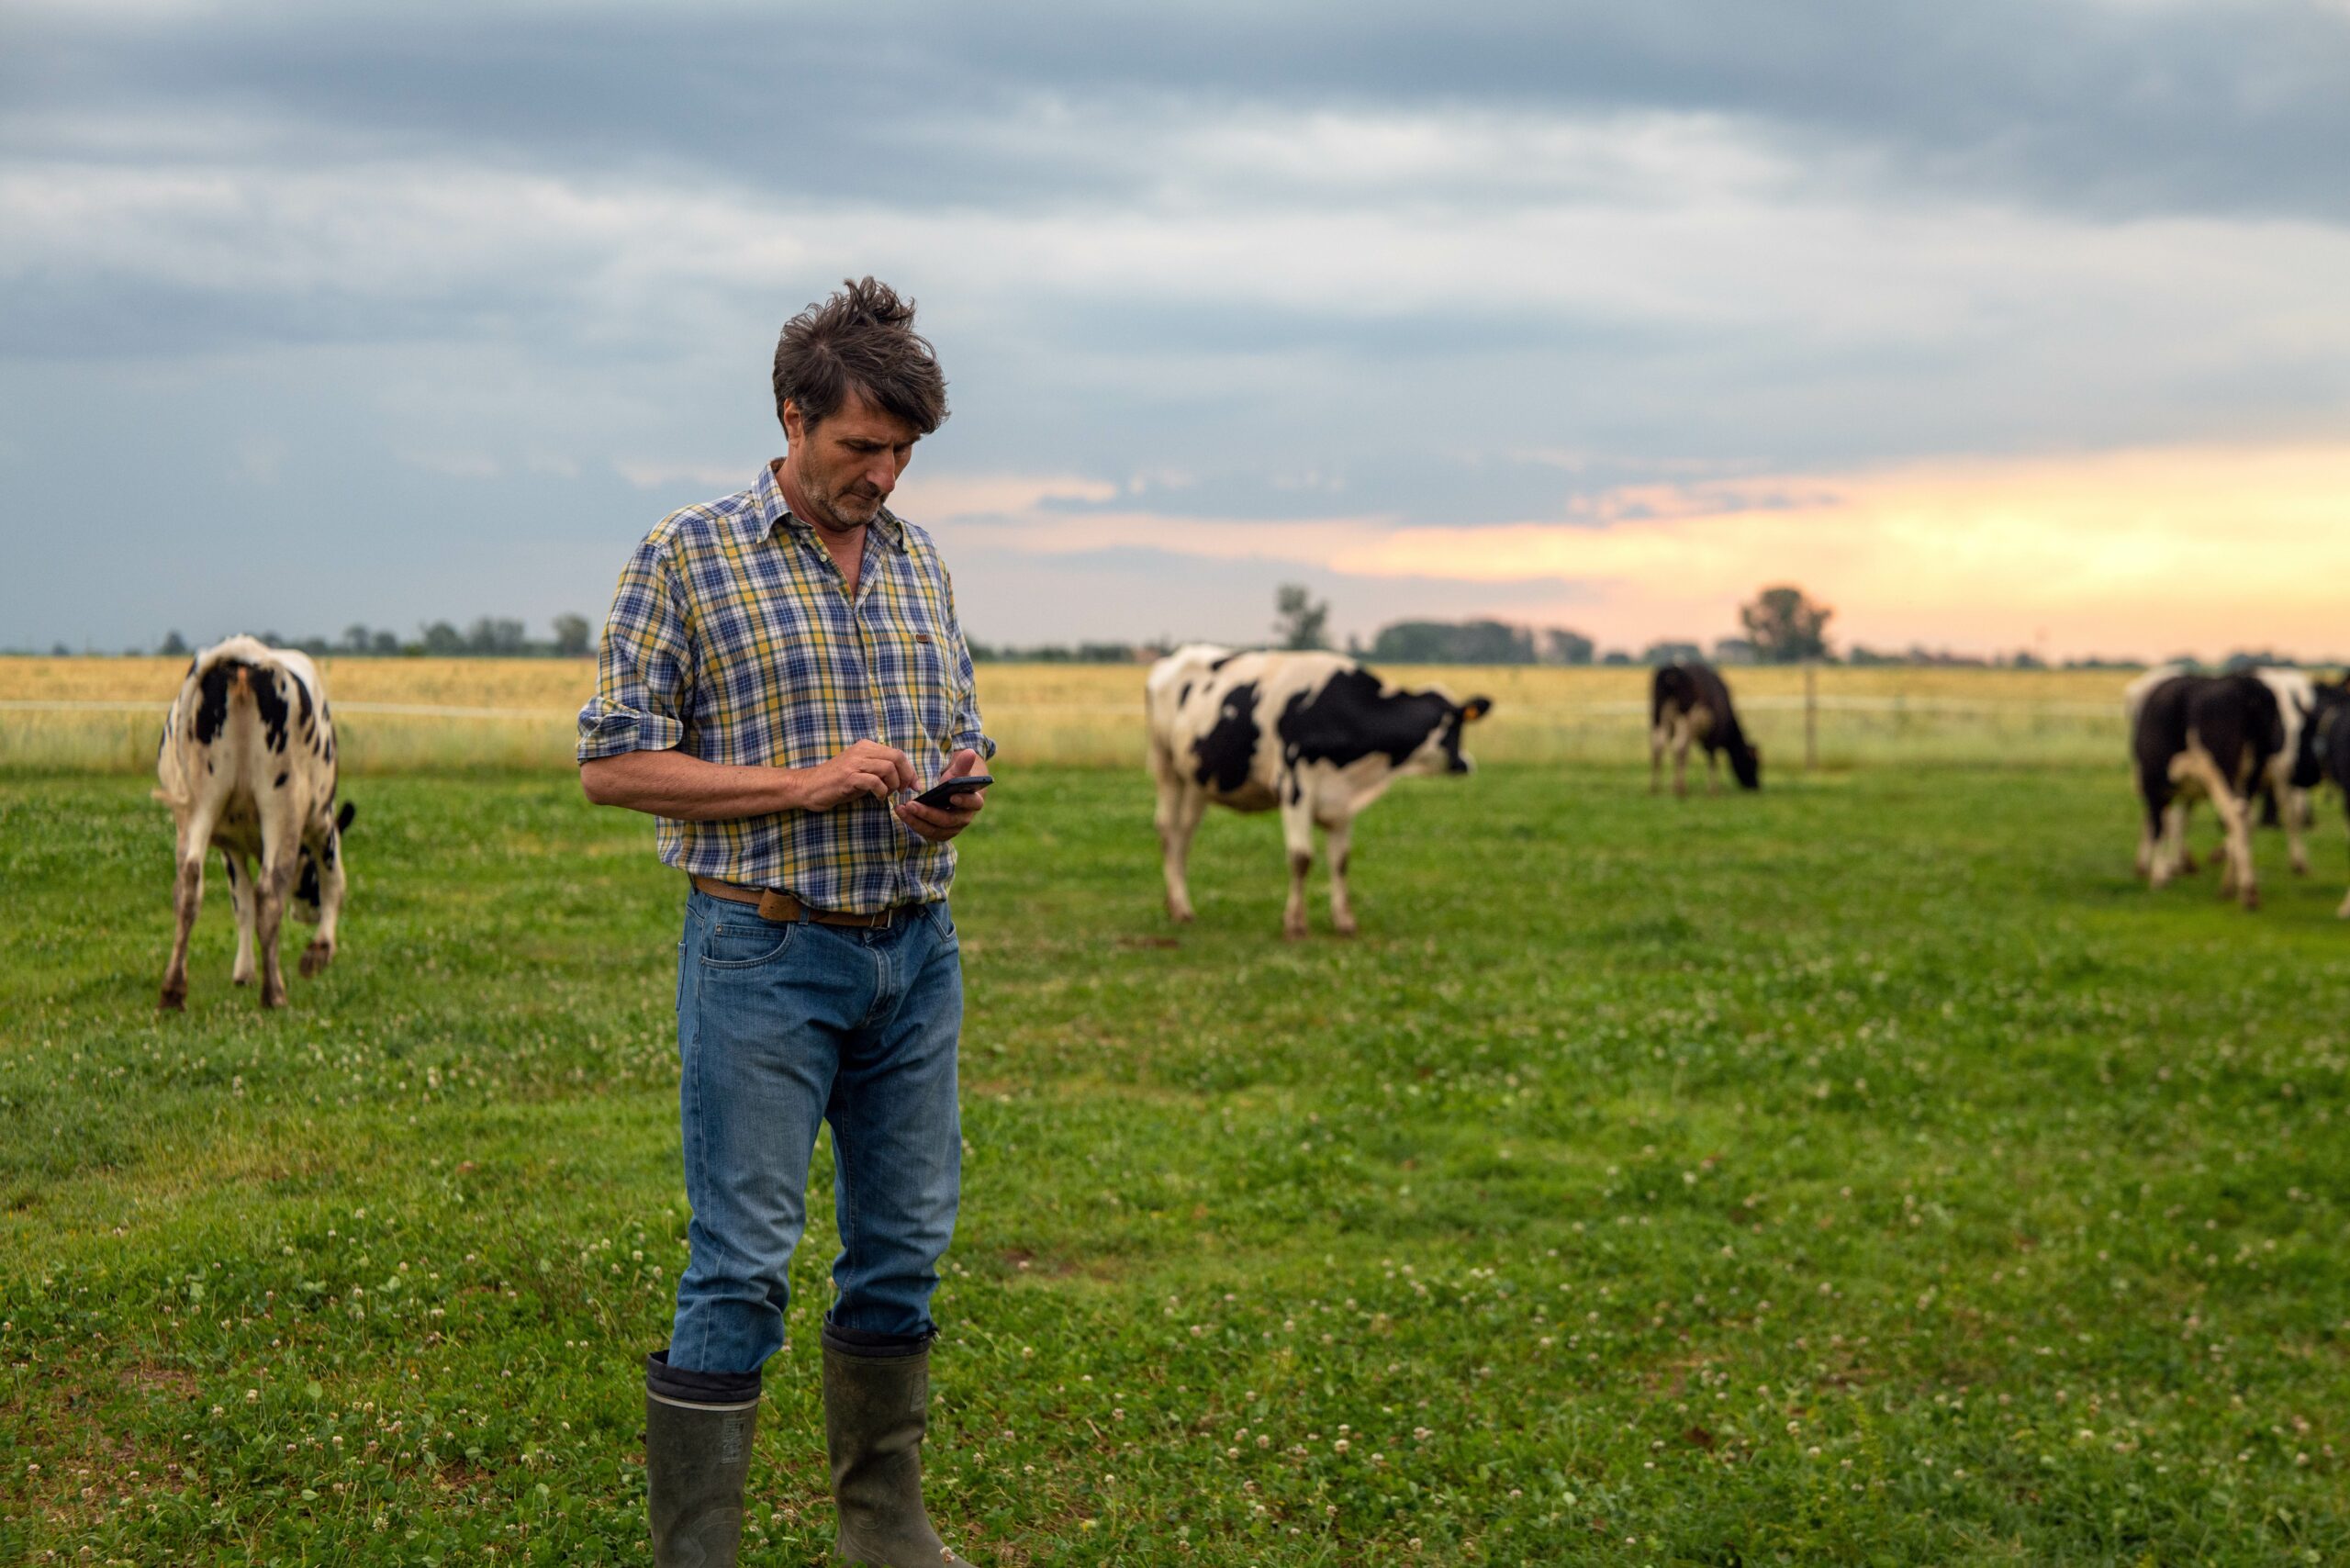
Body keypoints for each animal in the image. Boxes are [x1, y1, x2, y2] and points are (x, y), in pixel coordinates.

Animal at [156, 634, 352, 1011]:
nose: (307, 913)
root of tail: (244, 660)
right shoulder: (322, 821)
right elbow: (335, 881)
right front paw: (319, 952)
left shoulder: (229, 846)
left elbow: (241, 904)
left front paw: (243, 971)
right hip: (283, 807)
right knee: (270, 891)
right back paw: (274, 992)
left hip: (196, 810)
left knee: (188, 885)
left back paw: (173, 990)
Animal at [1151, 644, 1494, 940]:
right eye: (1452, 724)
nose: (1466, 763)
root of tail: (1172, 659)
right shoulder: (1295, 787)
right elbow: (1301, 858)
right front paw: (1295, 924)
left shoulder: (1342, 799)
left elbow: (1341, 860)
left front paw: (1344, 921)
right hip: (1167, 767)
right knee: (1168, 831)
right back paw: (1180, 907)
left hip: (1196, 780)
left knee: (1184, 835)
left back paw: (1176, 905)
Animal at [1654, 663, 1767, 799]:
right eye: (1753, 763)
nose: (1755, 786)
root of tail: (1671, 670)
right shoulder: (1714, 735)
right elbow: (1712, 759)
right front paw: (1713, 790)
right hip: (1685, 719)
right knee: (1680, 747)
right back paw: (1681, 789)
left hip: (1658, 718)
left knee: (1658, 746)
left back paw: (1655, 788)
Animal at [2133, 672, 2275, 907]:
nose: (2139, 870)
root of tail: (2243, 682)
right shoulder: (2184, 794)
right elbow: (2178, 822)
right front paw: (2176, 866)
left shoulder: (2154, 785)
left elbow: (2160, 826)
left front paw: (2159, 875)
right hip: (2253, 773)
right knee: (2245, 817)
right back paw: (2228, 887)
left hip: (2220, 771)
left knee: (2235, 813)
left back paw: (2248, 892)